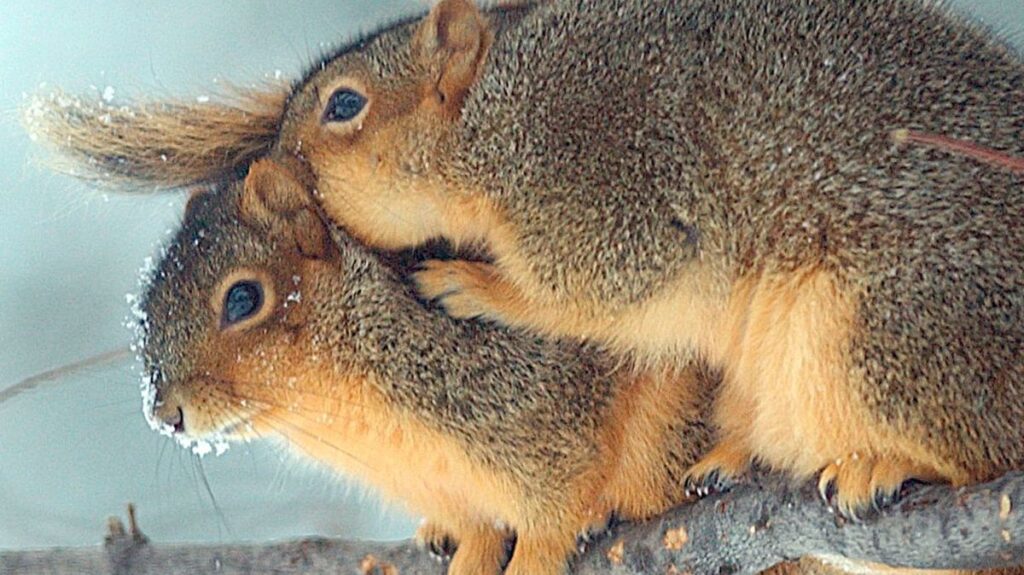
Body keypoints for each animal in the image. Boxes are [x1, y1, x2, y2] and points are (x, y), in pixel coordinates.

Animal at [24, 0, 1024, 523]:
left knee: (978, 443)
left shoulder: (597, 172)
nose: (265, 165)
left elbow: (597, 283)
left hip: (891, 328)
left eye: (344, 105)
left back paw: (882, 463)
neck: (489, 118)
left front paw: (471, 282)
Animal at [136, 158, 728, 575]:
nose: (165, 415)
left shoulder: (536, 401)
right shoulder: (445, 487)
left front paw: (535, 556)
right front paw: (470, 555)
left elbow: (556, 503)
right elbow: (482, 527)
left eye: (242, 299)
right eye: (147, 306)